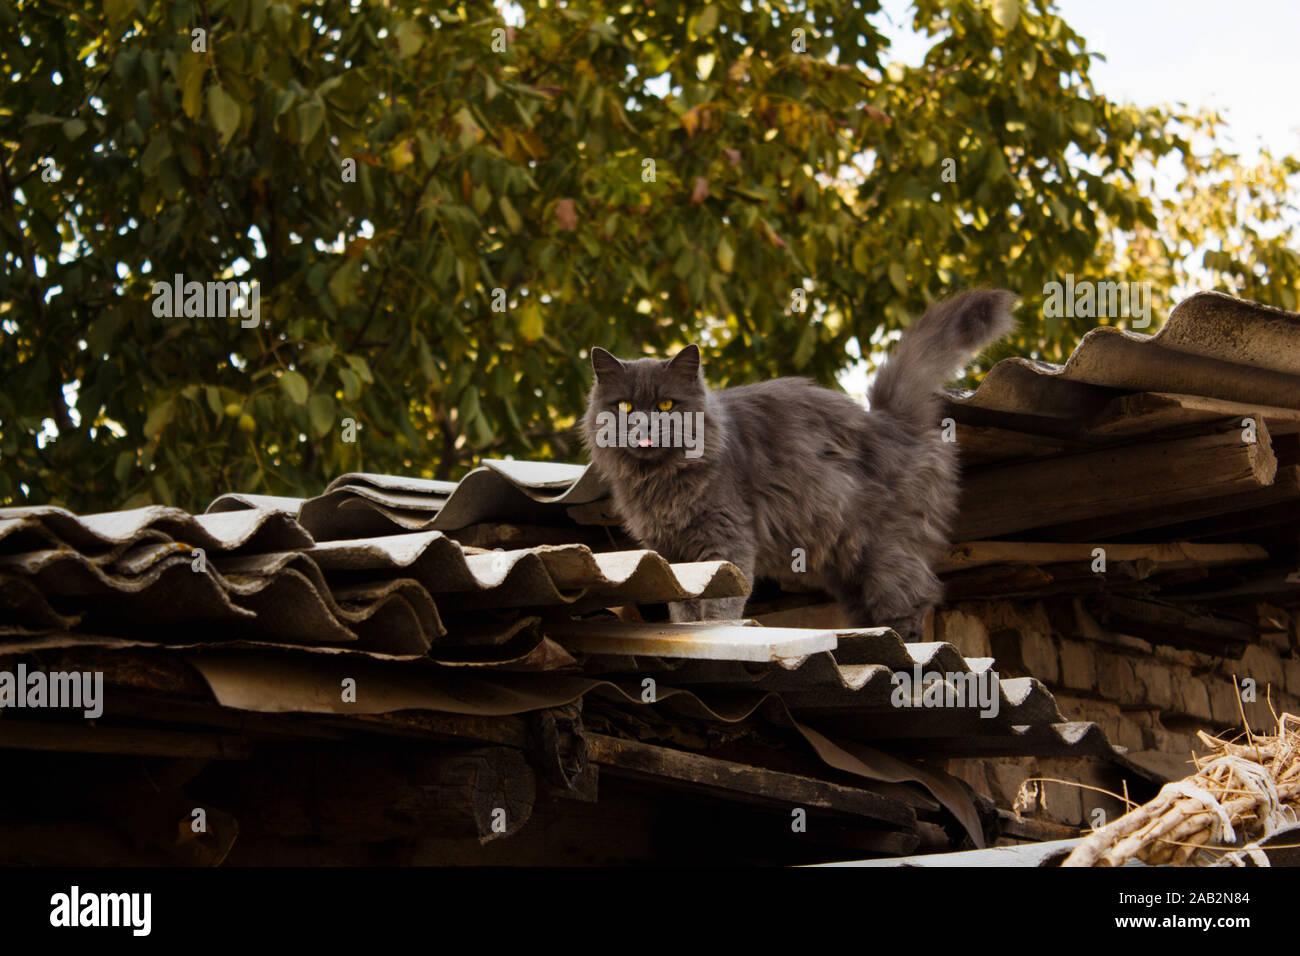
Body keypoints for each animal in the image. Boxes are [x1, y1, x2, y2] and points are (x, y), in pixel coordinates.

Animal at [585, 287, 1019, 639]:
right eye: (625, 407)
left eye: (665, 405)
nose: (644, 425)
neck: (661, 479)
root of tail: (889, 419)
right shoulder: (673, 555)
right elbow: (684, 607)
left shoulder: (727, 541)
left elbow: (722, 602)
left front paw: (719, 629)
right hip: (846, 559)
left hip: (888, 546)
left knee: (912, 599)